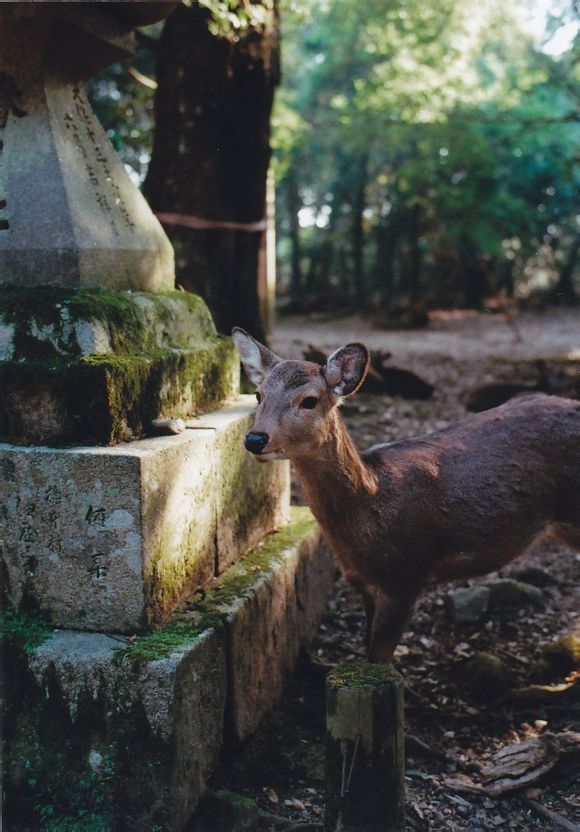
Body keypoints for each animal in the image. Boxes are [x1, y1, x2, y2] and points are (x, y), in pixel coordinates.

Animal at [231, 328, 580, 660]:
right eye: (259, 394)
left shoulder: (405, 579)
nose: (255, 439)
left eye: (309, 400)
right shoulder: (364, 583)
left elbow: (379, 659)